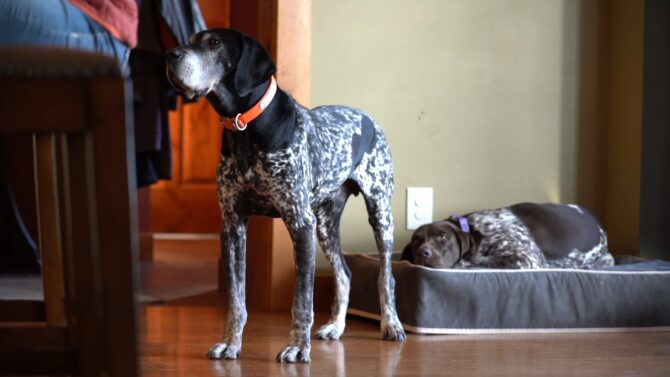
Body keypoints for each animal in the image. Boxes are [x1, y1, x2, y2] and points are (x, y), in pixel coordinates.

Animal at [165, 27, 406, 362]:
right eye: (190, 40)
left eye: (214, 43)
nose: (170, 54)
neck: (246, 129)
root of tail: (367, 117)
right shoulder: (232, 227)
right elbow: (236, 301)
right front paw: (230, 343)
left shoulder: (299, 223)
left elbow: (302, 300)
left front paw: (296, 347)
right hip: (325, 224)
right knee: (344, 274)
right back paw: (335, 327)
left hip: (379, 214)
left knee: (387, 276)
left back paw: (391, 325)